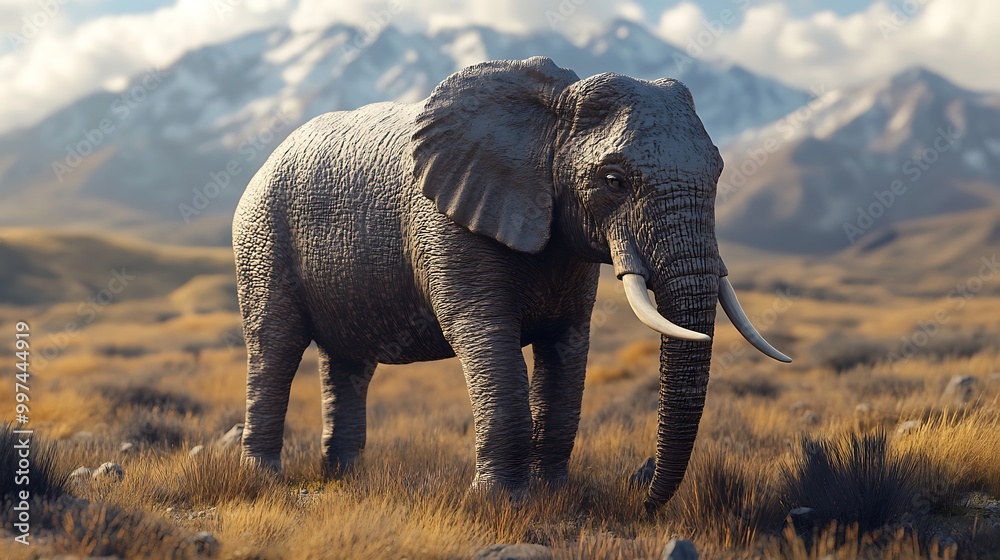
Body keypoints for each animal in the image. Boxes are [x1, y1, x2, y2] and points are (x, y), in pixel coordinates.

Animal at [232, 56, 790, 511]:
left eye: (719, 173)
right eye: (613, 181)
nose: (642, 491)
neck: (548, 111)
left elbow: (567, 349)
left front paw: (555, 496)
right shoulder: (449, 227)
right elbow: (487, 340)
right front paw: (501, 503)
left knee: (348, 364)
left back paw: (344, 479)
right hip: (261, 238)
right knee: (275, 347)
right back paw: (262, 478)